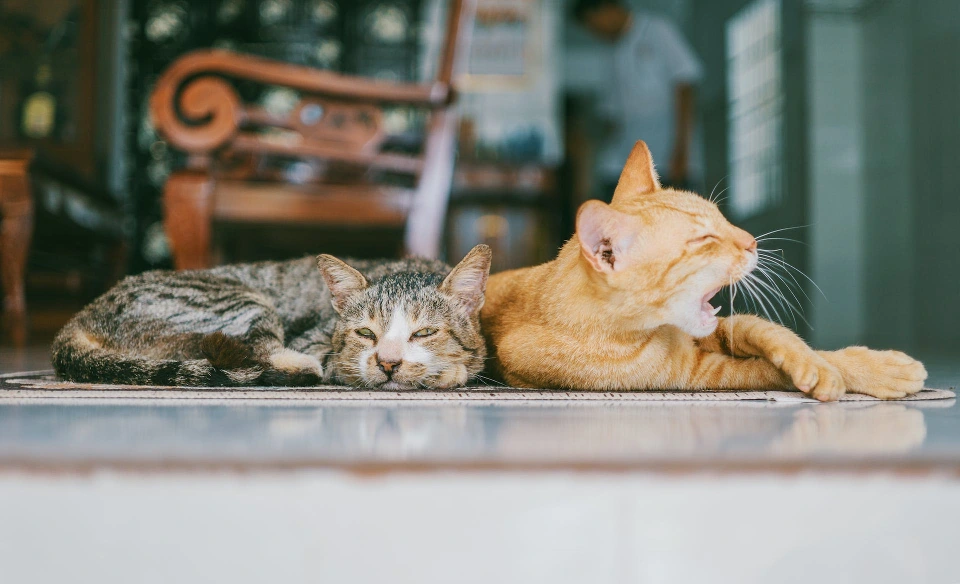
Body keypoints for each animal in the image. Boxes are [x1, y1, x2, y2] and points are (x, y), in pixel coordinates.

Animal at [52, 242, 492, 388]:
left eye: (425, 333)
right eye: (365, 333)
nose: (388, 362)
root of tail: (82, 316)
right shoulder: (321, 344)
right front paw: (450, 372)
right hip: (242, 301)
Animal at [484, 140, 928, 402]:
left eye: (722, 218)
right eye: (703, 240)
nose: (751, 240)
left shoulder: (720, 330)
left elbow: (770, 331)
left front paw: (834, 363)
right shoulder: (696, 375)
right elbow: (768, 372)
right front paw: (840, 373)